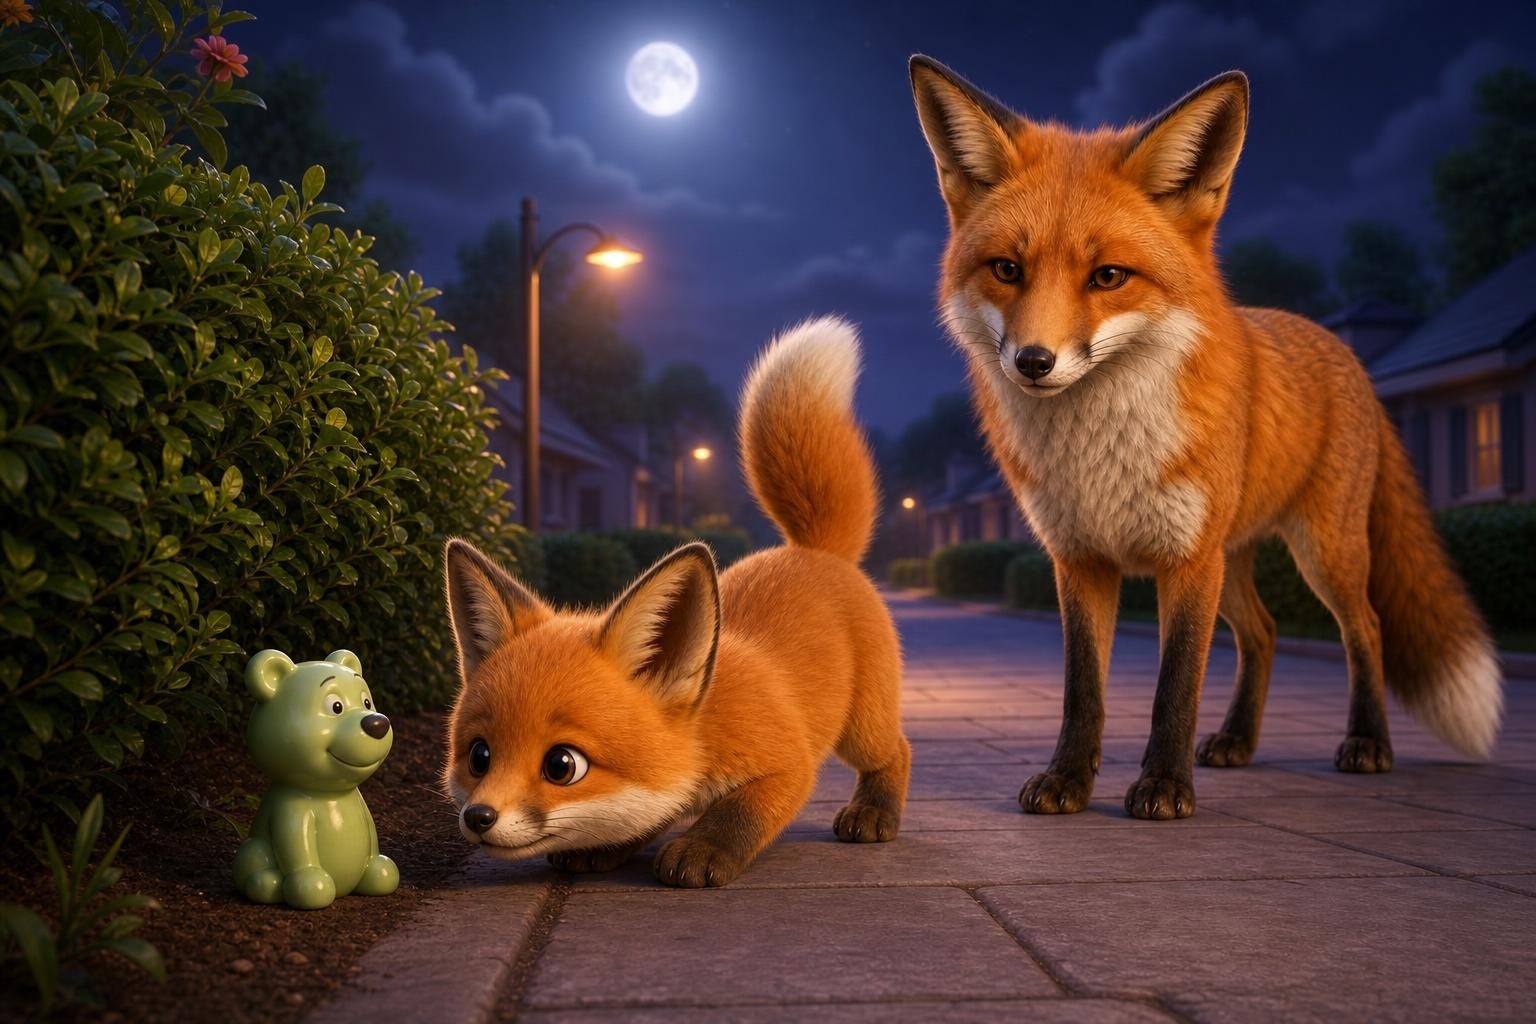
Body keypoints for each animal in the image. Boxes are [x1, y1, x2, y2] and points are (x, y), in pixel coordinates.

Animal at [440, 316, 910, 886]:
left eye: (562, 765)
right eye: (479, 755)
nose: (478, 816)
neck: (703, 726)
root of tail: (812, 549)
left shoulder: (788, 763)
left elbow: (739, 814)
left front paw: (702, 848)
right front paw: (612, 844)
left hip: (862, 728)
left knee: (897, 750)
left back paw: (875, 811)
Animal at [908, 56, 1503, 820]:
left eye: (1108, 276)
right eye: (1007, 269)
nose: (1033, 362)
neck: (1100, 452)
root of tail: (1342, 349)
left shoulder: (1186, 559)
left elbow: (1175, 685)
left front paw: (1164, 786)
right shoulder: (1080, 560)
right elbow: (1082, 690)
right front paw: (1068, 780)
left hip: (1322, 551)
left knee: (1365, 627)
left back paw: (1368, 744)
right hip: (1236, 558)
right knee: (1265, 632)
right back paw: (1238, 742)